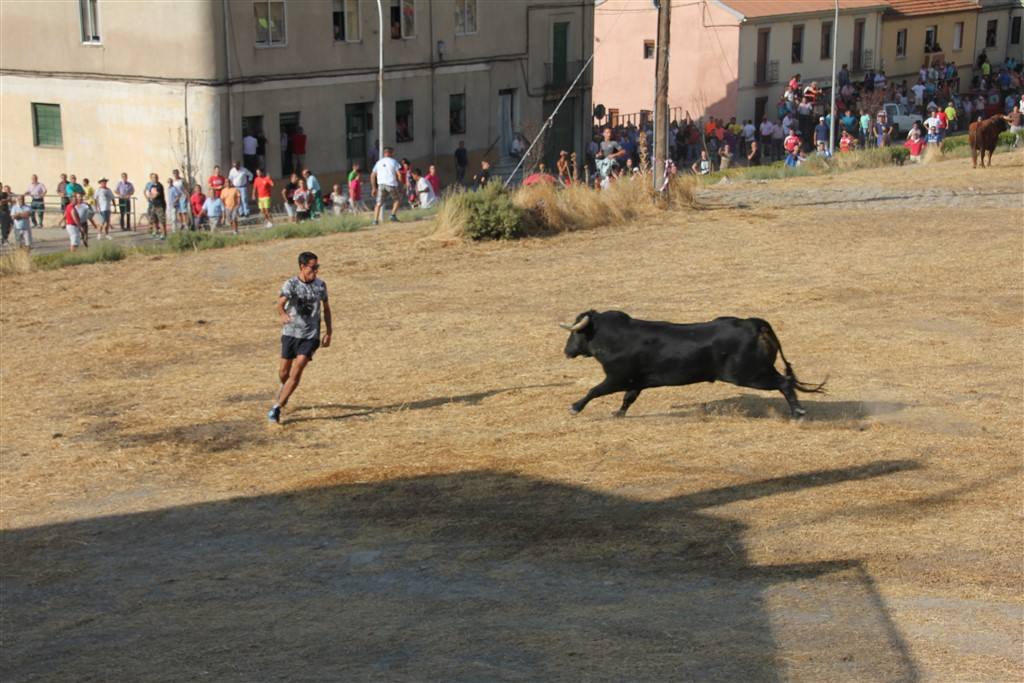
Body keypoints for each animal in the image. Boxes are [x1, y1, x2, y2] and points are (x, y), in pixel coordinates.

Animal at [561, 309, 823, 417]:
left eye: (575, 333)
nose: (566, 351)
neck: (616, 337)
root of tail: (755, 324)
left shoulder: (616, 378)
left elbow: (594, 390)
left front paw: (575, 407)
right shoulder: (636, 381)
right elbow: (628, 398)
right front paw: (618, 413)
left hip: (751, 374)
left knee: (784, 382)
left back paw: (798, 412)